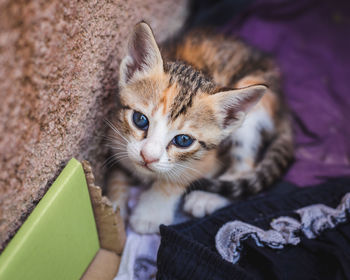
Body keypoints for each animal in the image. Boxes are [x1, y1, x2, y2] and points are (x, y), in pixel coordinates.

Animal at [106, 21, 292, 234]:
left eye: (183, 140)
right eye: (140, 120)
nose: (148, 157)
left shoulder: (207, 160)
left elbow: (179, 177)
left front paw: (150, 212)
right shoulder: (116, 137)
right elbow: (116, 175)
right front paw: (114, 213)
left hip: (253, 110)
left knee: (245, 169)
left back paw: (206, 198)